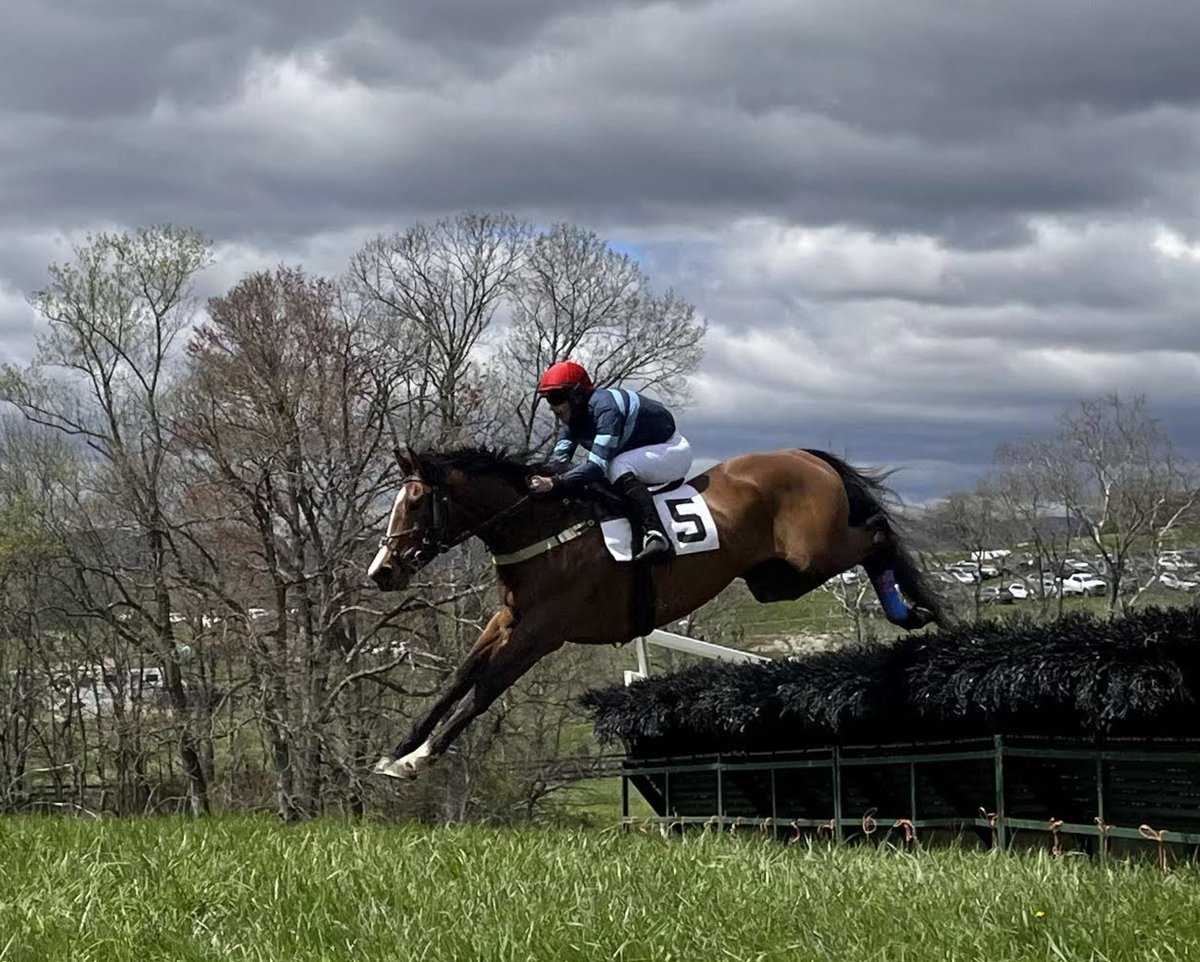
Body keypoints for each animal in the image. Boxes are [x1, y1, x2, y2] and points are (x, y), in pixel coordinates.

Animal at [367, 446, 947, 777]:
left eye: (414, 503)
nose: (382, 571)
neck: (543, 530)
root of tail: (807, 457)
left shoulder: (544, 632)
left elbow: (484, 691)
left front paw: (420, 760)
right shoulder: (508, 620)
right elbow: (459, 678)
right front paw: (397, 750)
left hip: (814, 552)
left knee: (877, 533)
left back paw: (919, 611)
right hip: (775, 579)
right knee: (866, 540)